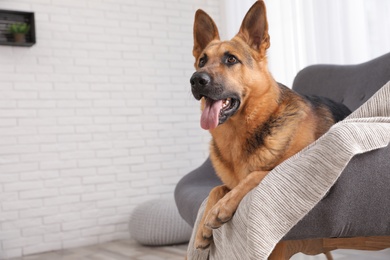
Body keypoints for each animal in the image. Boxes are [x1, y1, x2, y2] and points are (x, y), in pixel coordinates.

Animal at [189, 0, 350, 249]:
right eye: (202, 61)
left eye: (231, 59)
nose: (197, 79)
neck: (239, 134)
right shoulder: (228, 182)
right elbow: (217, 188)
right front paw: (202, 229)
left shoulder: (290, 170)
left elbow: (256, 174)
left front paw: (221, 208)